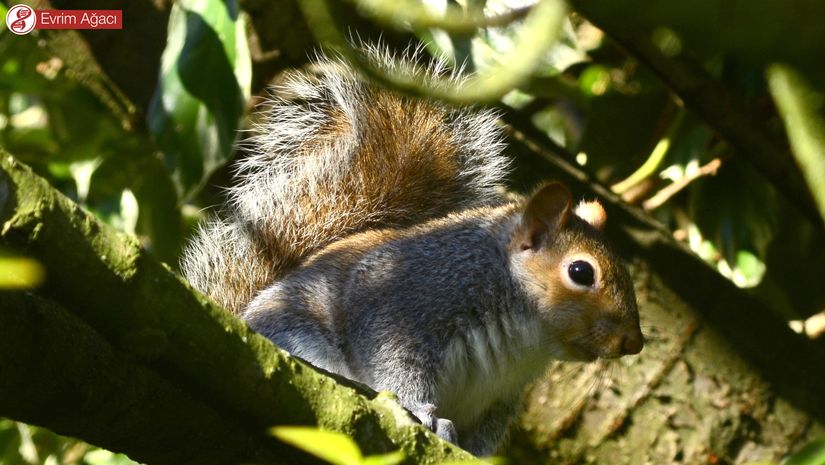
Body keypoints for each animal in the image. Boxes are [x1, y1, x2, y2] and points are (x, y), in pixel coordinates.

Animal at [180, 49, 644, 454]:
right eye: (581, 272)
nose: (633, 343)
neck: (526, 334)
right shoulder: (405, 299)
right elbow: (396, 364)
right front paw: (423, 413)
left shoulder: (503, 397)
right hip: (299, 336)